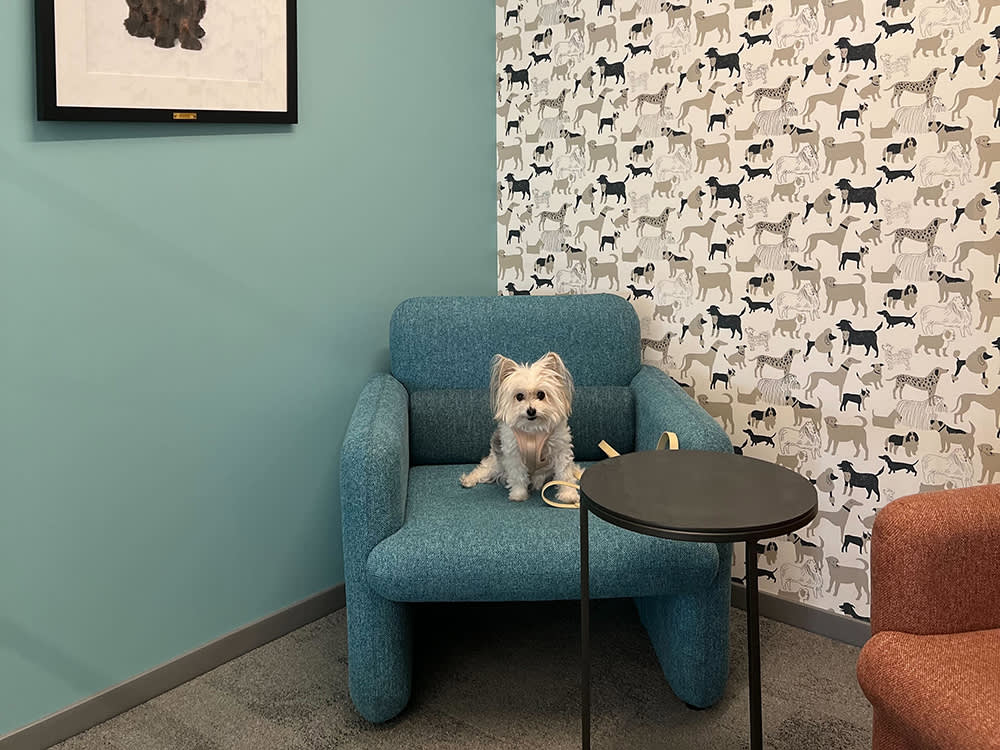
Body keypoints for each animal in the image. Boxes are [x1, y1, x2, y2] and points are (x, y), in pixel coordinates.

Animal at [460, 354, 580, 506]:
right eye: (519, 396)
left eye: (541, 394)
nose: (531, 410)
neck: (533, 430)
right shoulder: (513, 454)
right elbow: (517, 476)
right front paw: (519, 495)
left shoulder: (560, 450)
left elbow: (564, 474)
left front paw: (568, 494)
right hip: (497, 463)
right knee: (485, 468)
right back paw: (469, 480)